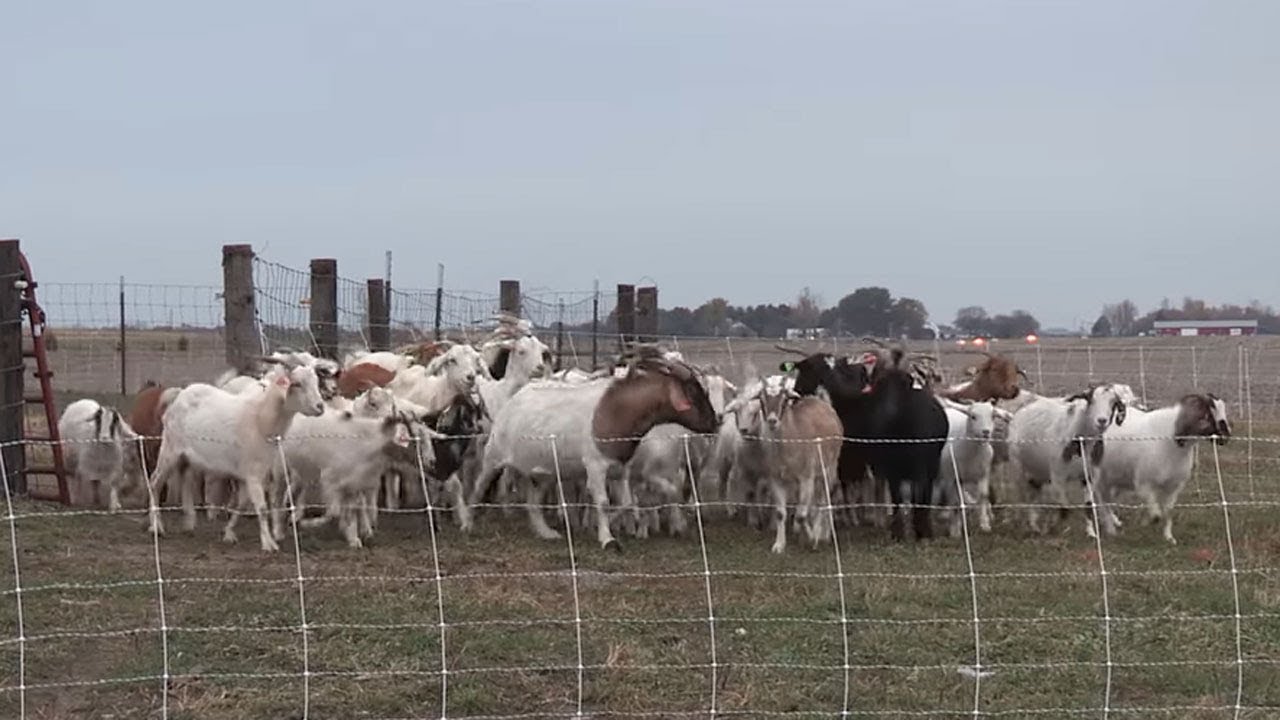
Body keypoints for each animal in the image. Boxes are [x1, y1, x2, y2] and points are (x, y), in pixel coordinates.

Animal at [1093, 394, 1230, 544]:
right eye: (1207, 415)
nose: (1226, 436)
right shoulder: (1144, 485)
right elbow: (1156, 514)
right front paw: (1147, 522)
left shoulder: (1173, 487)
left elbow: (1167, 512)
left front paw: (1169, 537)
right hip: (1101, 478)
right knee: (1103, 501)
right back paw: (1111, 530)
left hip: (1117, 478)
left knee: (1108, 500)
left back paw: (1114, 522)